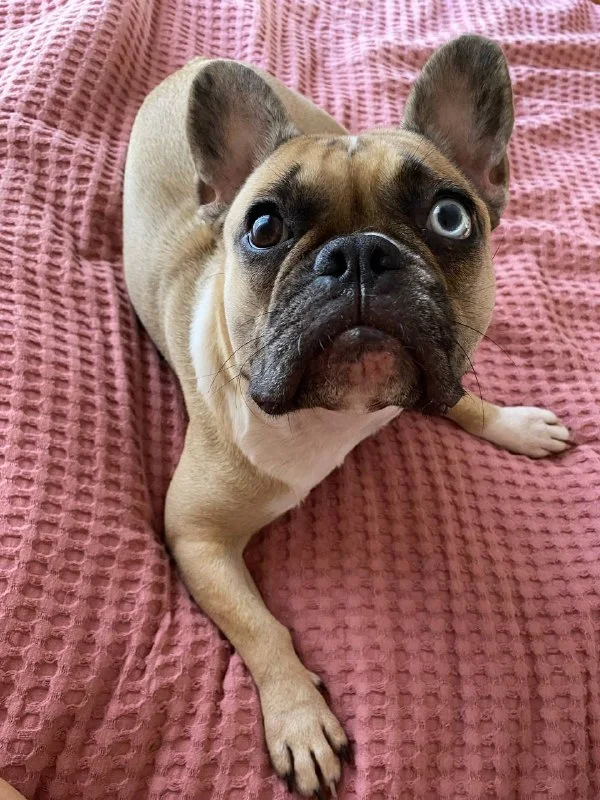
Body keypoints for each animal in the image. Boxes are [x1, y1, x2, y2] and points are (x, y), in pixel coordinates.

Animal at [123, 36, 570, 797]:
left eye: (451, 218)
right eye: (264, 227)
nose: (360, 252)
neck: (338, 417)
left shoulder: (438, 374)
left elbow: (461, 396)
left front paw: (511, 421)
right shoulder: (196, 536)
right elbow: (262, 627)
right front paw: (300, 719)